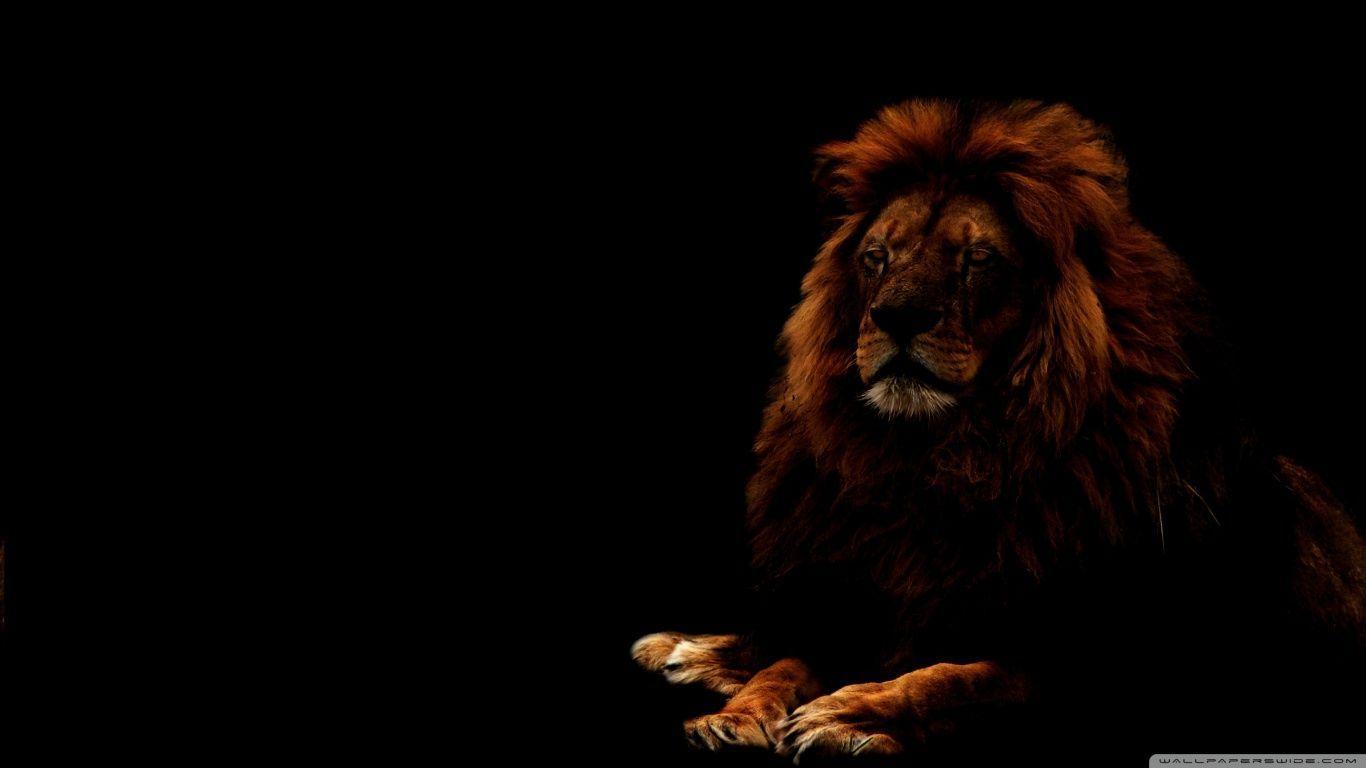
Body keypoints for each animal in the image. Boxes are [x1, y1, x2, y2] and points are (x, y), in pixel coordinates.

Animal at [632, 100, 1366, 761]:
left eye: (978, 259)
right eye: (876, 256)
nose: (896, 315)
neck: (939, 459)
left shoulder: (1095, 664)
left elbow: (960, 679)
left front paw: (848, 713)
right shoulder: (866, 600)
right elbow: (786, 661)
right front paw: (736, 715)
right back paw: (681, 649)